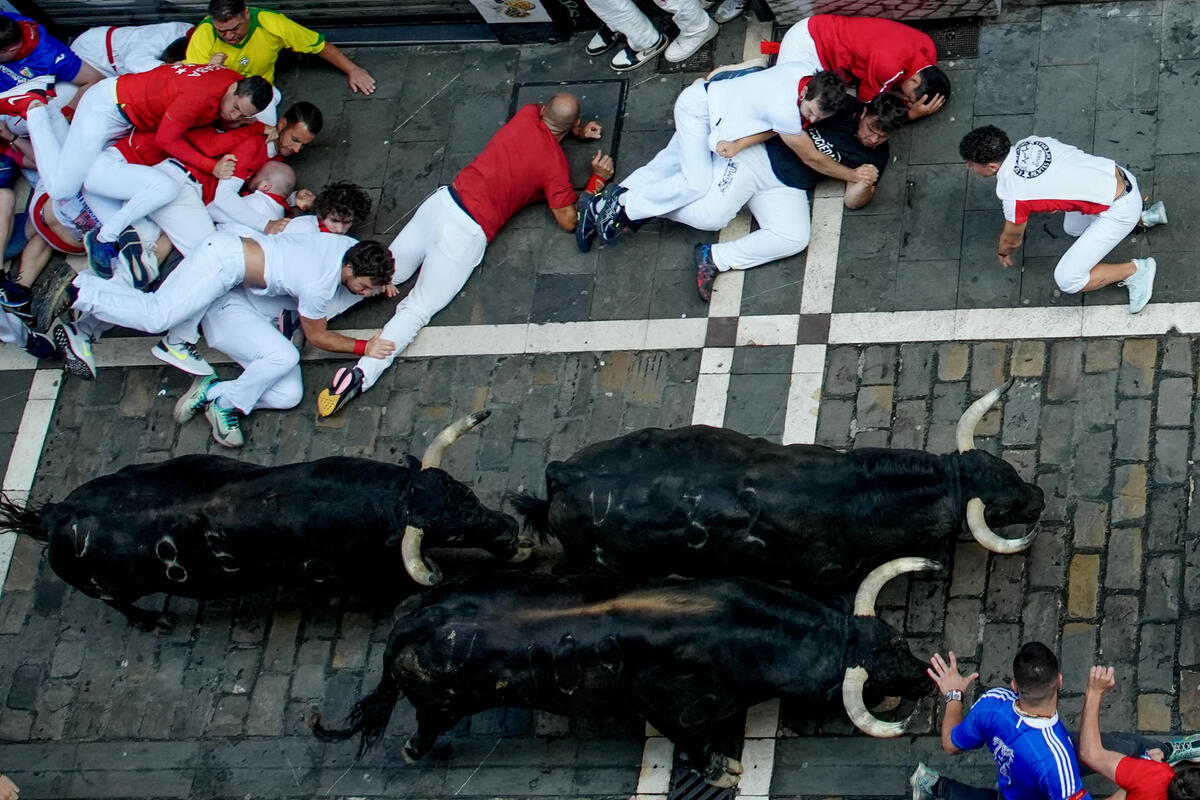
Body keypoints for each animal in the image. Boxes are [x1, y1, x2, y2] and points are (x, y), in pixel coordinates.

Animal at [0, 424, 520, 633]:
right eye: (451, 535)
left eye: (466, 489)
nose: (510, 530)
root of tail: (55, 515)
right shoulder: (355, 577)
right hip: (105, 589)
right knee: (121, 605)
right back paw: (153, 622)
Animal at [314, 561, 940, 786]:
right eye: (878, 680)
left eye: (897, 639)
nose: (928, 677)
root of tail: (410, 625)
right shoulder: (680, 719)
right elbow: (700, 755)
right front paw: (725, 772)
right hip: (437, 705)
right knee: (422, 730)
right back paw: (416, 753)